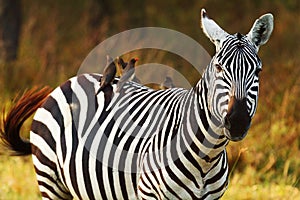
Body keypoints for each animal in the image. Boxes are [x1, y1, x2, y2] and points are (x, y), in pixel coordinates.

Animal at [0, 9, 274, 200]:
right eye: (219, 68)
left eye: (258, 71)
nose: (237, 121)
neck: (206, 157)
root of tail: (69, 81)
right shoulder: (150, 194)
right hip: (51, 182)